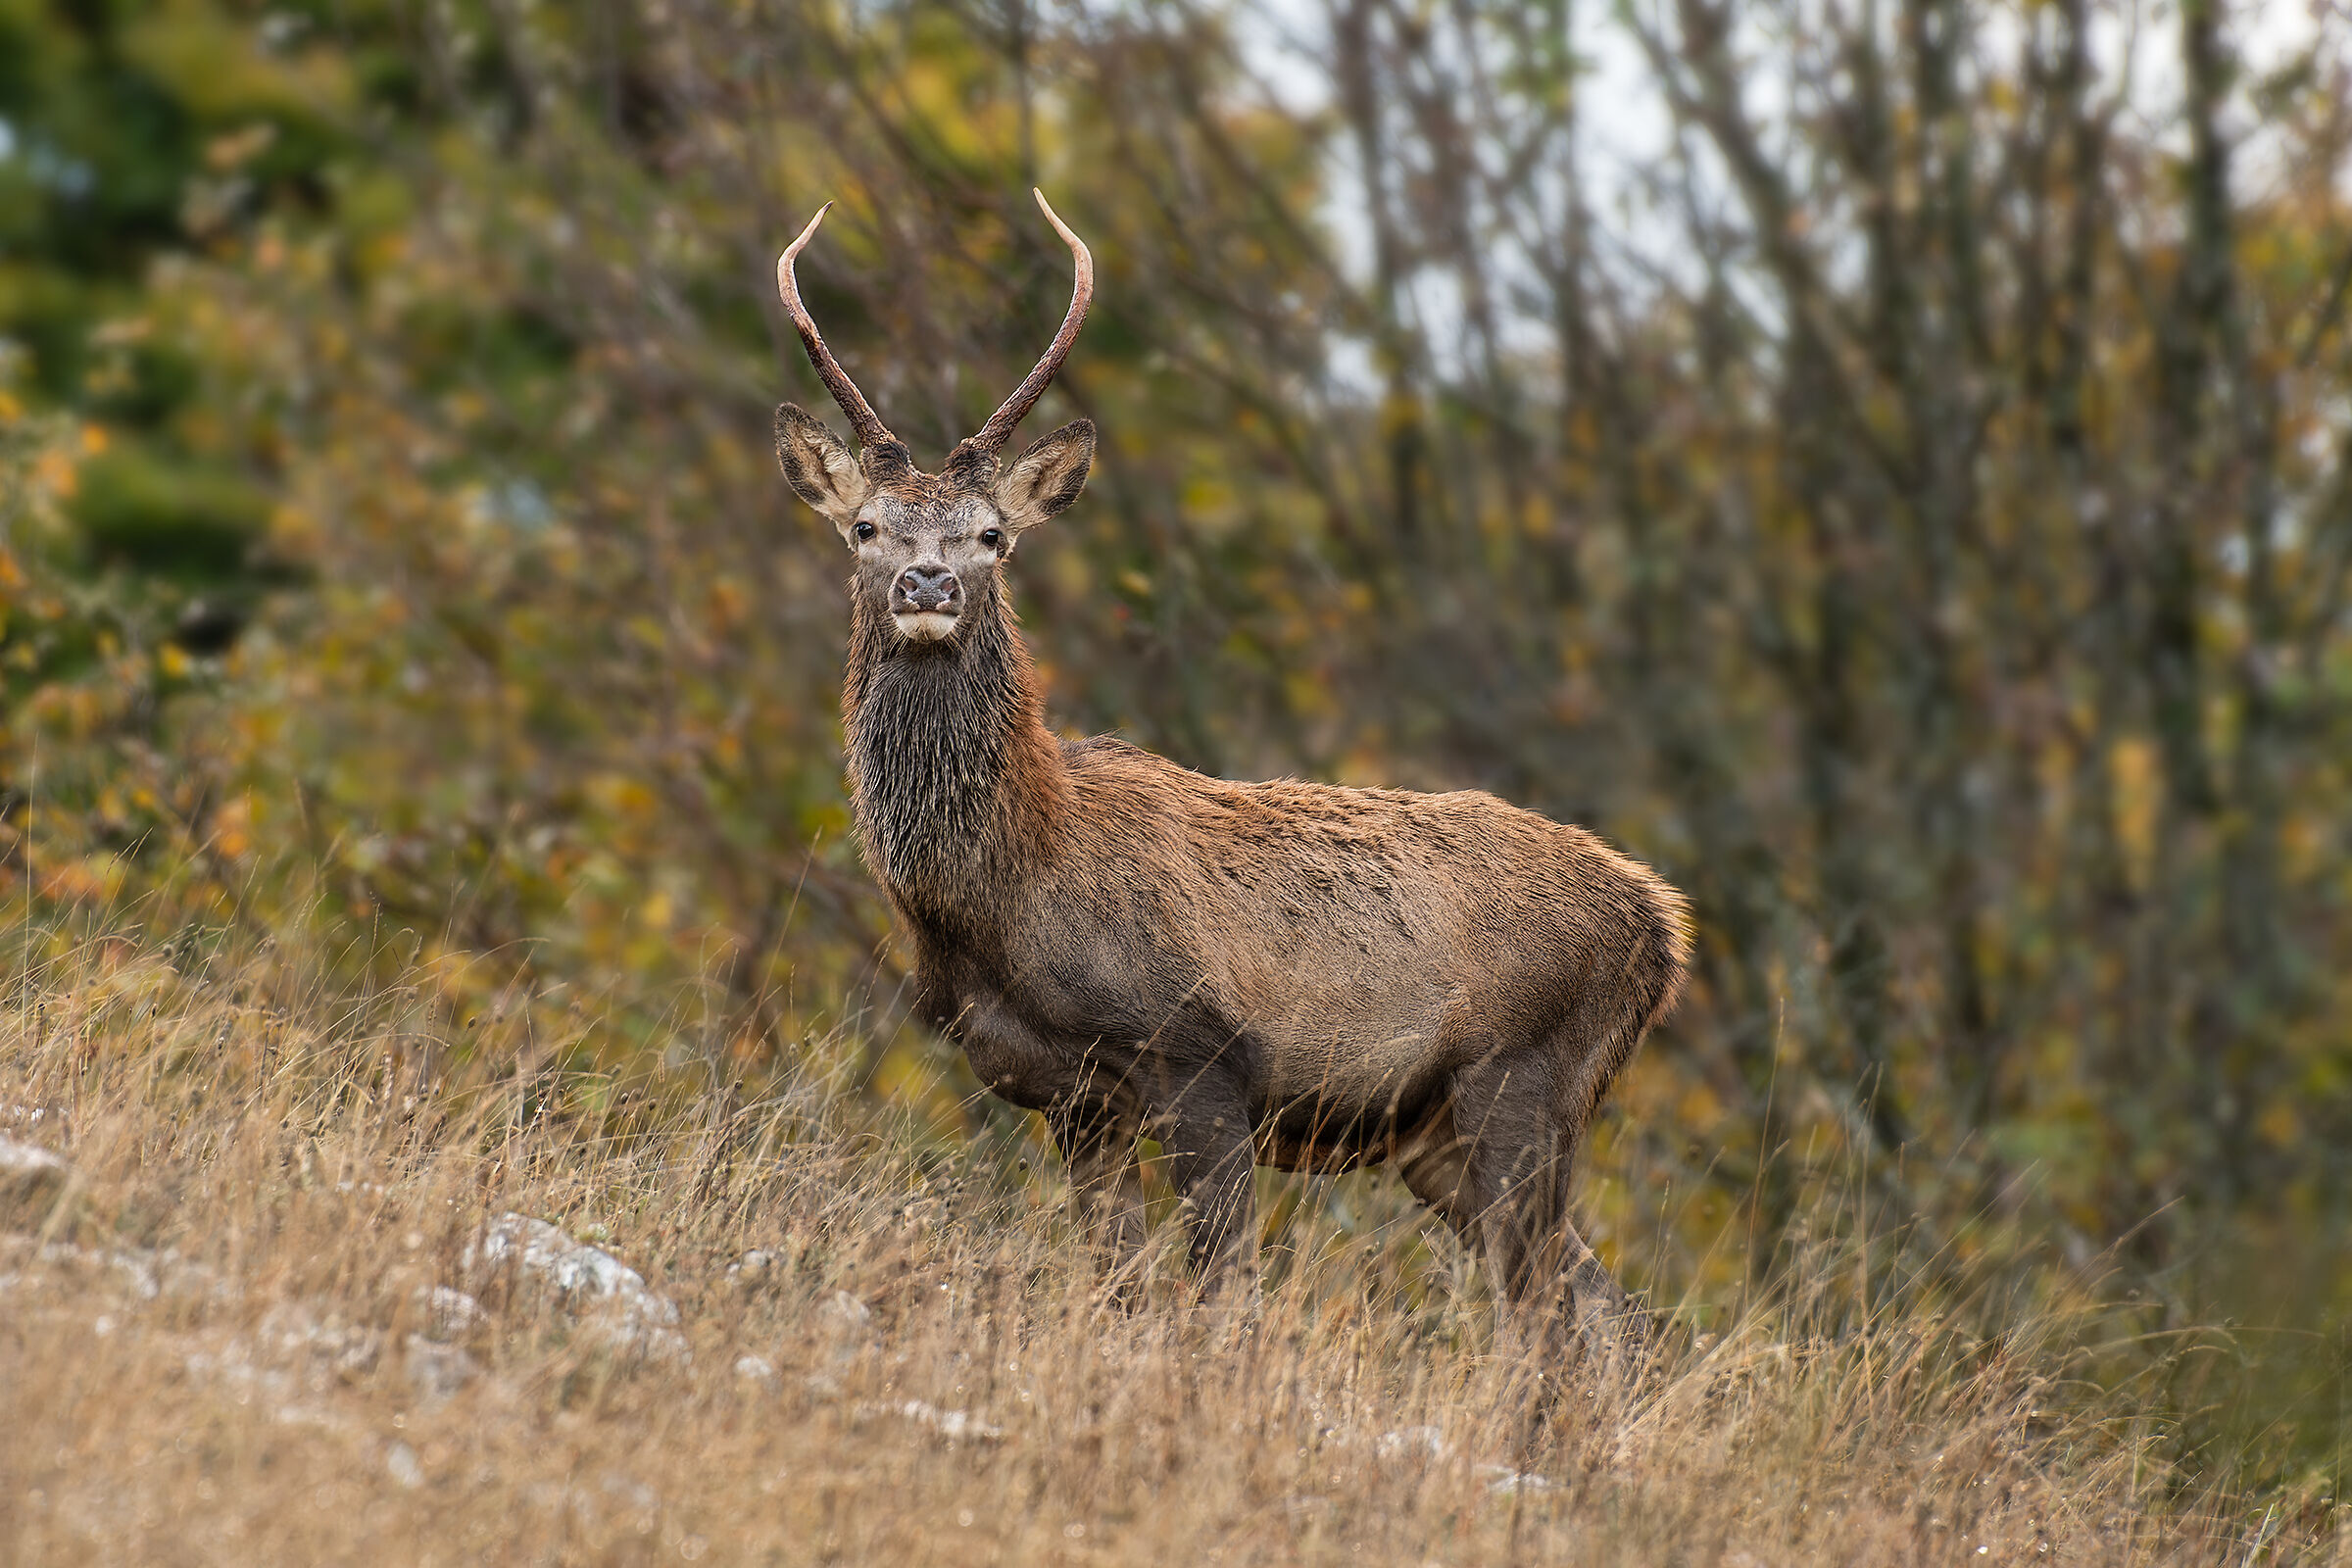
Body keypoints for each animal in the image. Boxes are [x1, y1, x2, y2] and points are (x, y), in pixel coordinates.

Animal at [770, 190, 1691, 1351]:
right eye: (865, 527)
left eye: (990, 535)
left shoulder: (1203, 1060)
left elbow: (1221, 1301)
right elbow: (1119, 1287)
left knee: (1549, 1321)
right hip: (1442, 1136)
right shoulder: (1071, 1098)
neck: (1005, 891)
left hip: (1524, 1076)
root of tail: (1664, 928)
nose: (927, 582)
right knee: (1613, 1314)